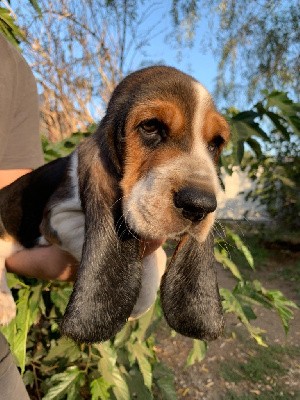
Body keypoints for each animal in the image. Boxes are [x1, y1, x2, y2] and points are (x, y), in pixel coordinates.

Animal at [0, 66, 230, 344]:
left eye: (215, 143)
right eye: (150, 126)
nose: (200, 205)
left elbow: (159, 256)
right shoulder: (57, 217)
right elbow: (149, 256)